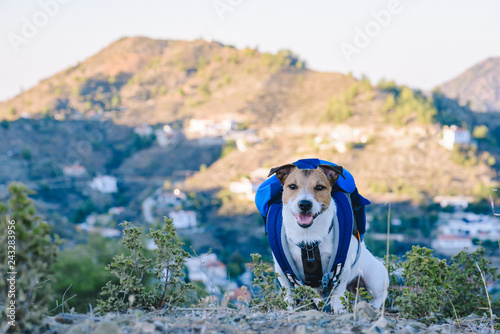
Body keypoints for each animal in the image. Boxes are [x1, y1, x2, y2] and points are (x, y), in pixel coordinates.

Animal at [270, 163, 386, 312]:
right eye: (292, 186)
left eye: (320, 187)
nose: (305, 204)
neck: (308, 240)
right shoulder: (282, 271)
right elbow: (288, 293)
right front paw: (288, 308)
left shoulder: (342, 268)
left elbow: (338, 292)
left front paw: (339, 309)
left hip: (374, 279)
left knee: (381, 294)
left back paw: (374, 306)